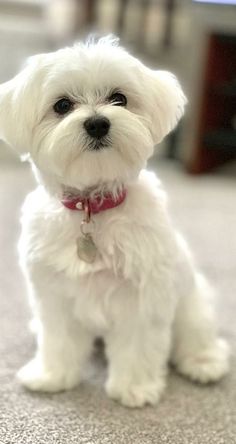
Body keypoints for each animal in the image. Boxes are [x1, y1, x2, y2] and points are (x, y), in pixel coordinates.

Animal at [0, 36, 229, 408]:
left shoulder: (142, 295)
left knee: (197, 335)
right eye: (62, 105)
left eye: (119, 98)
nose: (97, 123)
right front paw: (52, 376)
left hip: (190, 303)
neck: (94, 206)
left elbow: (137, 346)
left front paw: (135, 388)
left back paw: (204, 363)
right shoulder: (55, 294)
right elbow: (58, 340)